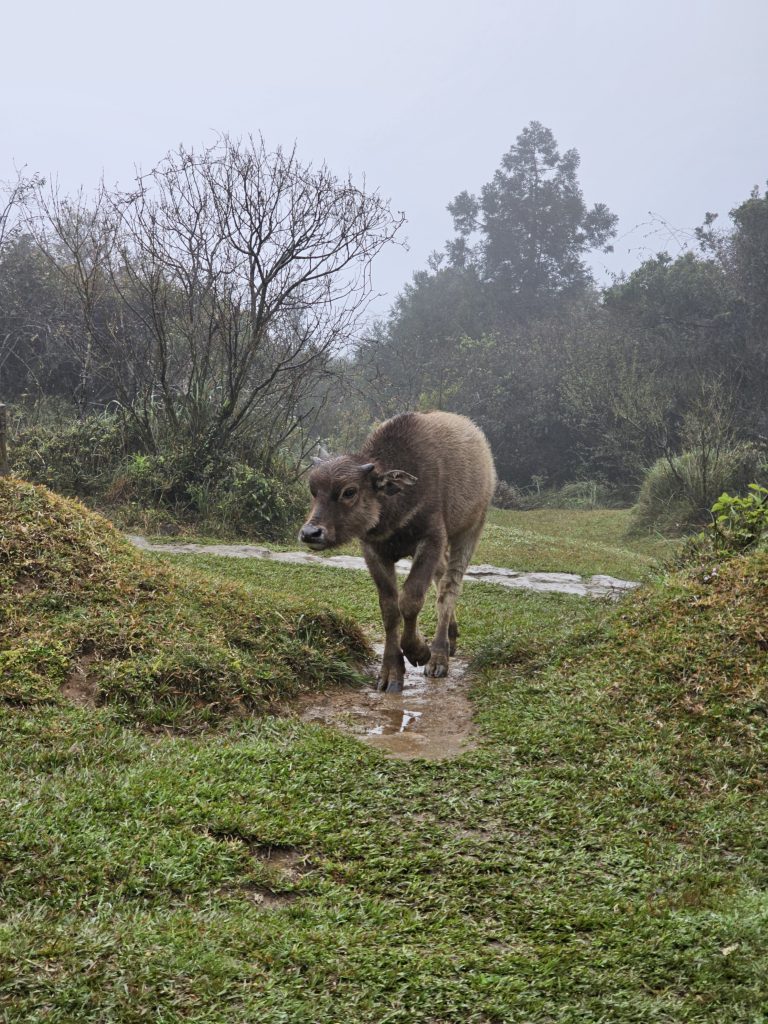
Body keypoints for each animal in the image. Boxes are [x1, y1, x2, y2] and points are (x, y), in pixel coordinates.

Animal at [296, 411, 495, 692]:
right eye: (313, 490)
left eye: (349, 491)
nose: (311, 533)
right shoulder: (373, 550)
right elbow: (390, 608)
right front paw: (391, 670)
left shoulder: (432, 539)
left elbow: (411, 600)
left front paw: (419, 651)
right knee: (441, 576)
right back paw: (452, 635)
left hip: (471, 528)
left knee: (449, 586)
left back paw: (439, 654)